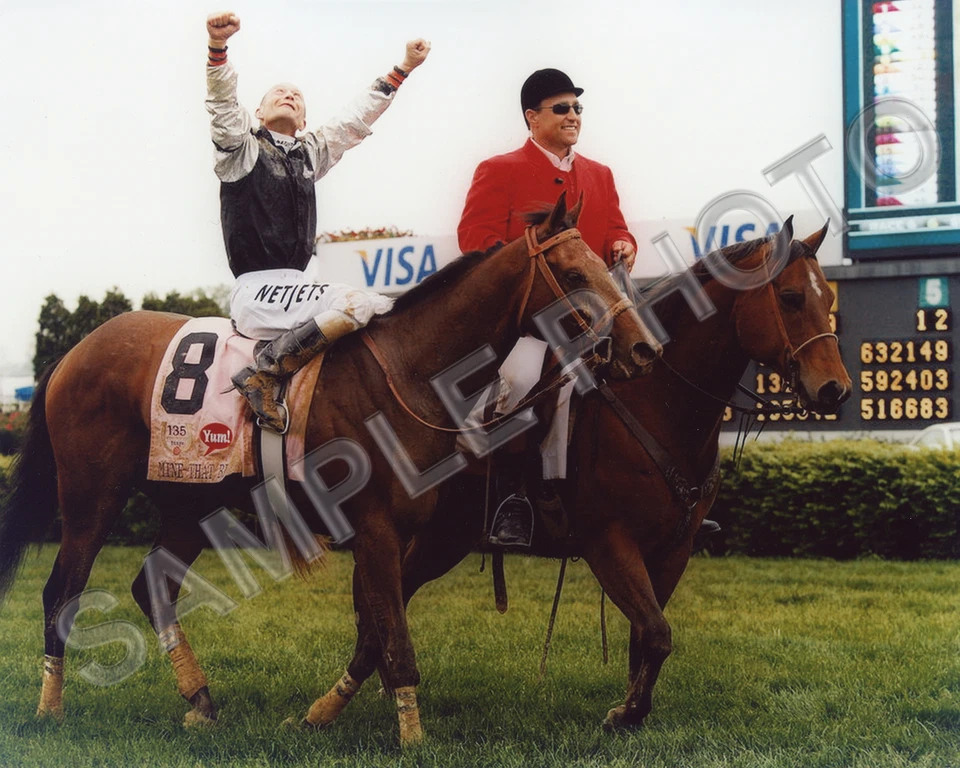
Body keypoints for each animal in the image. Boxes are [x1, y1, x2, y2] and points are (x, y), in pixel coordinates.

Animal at [0, 193, 662, 745]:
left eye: (606, 264)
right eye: (574, 275)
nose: (643, 349)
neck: (409, 370)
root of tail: (76, 351)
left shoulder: (408, 532)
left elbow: (377, 631)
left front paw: (324, 714)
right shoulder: (376, 529)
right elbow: (393, 636)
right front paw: (412, 739)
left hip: (192, 501)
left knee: (152, 585)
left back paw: (200, 700)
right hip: (91, 496)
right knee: (62, 590)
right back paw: (50, 706)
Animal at [334, 219, 852, 733]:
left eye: (826, 299)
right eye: (790, 297)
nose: (835, 390)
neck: (656, 401)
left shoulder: (674, 548)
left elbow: (644, 637)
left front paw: (633, 709)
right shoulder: (609, 542)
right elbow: (657, 632)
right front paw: (626, 713)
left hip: (443, 537)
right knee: (383, 599)